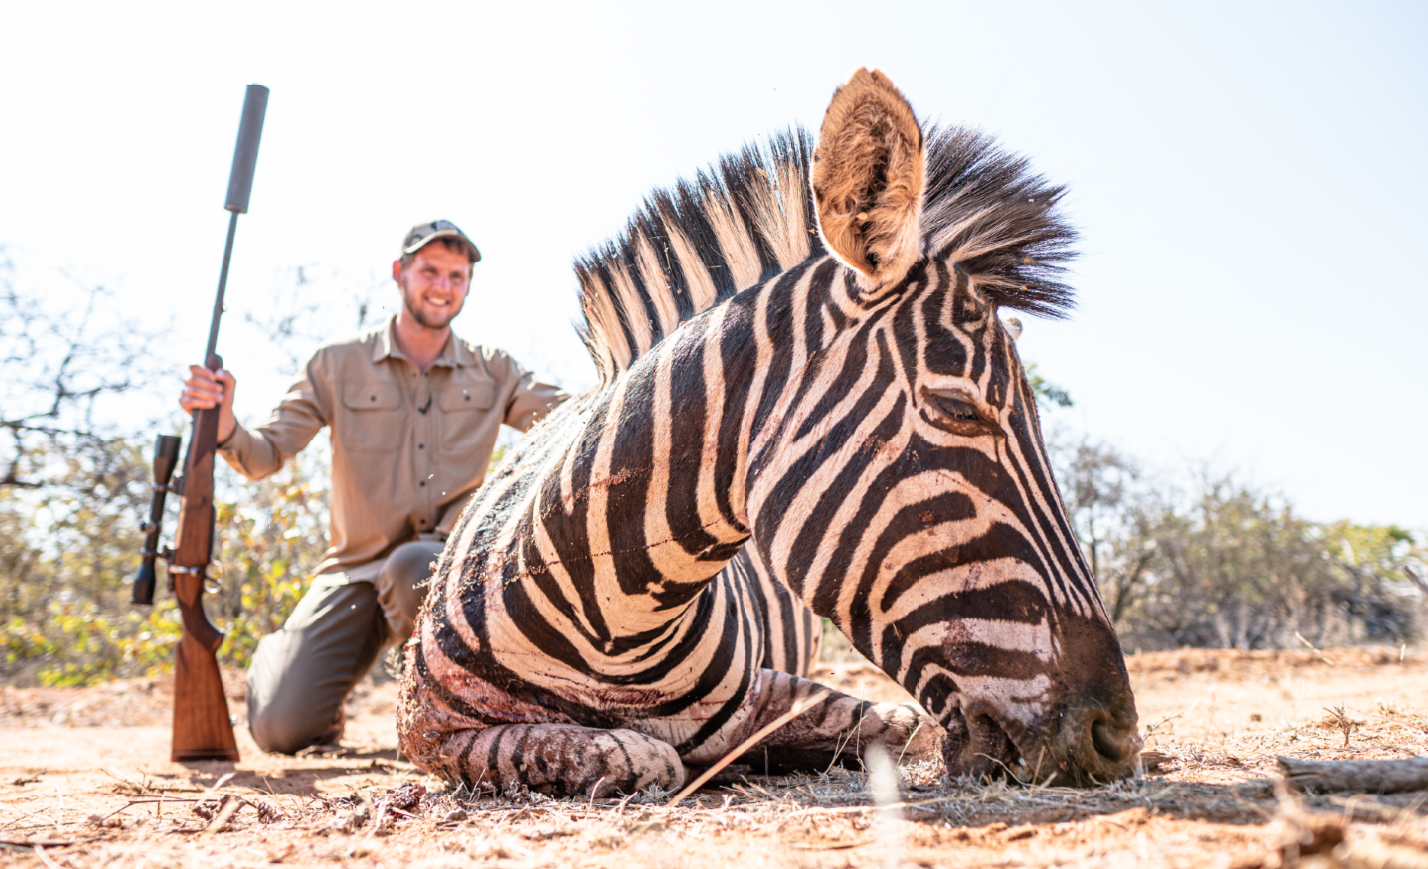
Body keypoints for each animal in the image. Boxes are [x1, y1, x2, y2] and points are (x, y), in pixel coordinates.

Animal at [398, 68, 1142, 795]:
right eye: (958, 407)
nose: (1115, 736)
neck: (620, 624)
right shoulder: (433, 736)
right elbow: (634, 755)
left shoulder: (776, 689)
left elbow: (895, 728)